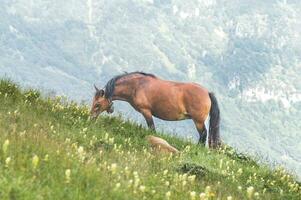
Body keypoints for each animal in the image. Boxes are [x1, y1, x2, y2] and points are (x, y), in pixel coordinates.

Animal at [90, 72, 219, 148]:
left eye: (97, 104)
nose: (91, 118)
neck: (137, 86)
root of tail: (207, 92)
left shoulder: (146, 111)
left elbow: (152, 128)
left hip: (198, 121)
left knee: (203, 134)